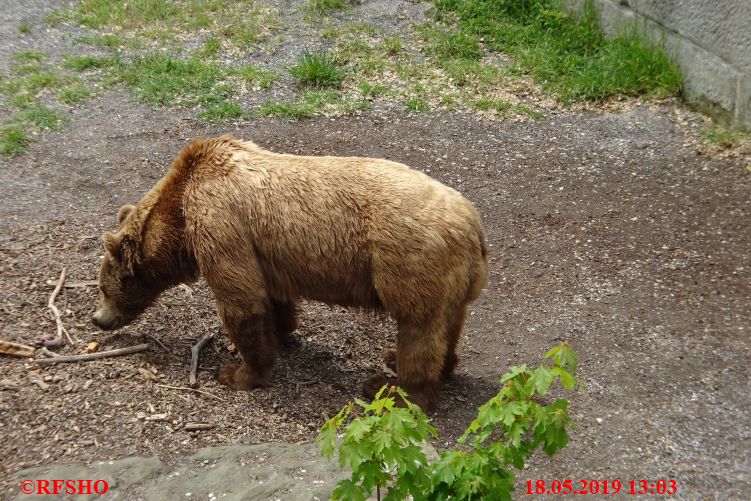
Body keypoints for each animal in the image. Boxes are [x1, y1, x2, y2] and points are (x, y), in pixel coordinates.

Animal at [92, 134, 488, 410]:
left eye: (105, 287)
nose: (98, 319)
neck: (177, 219)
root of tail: (473, 226)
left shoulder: (220, 222)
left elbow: (241, 299)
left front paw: (237, 372)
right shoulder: (262, 250)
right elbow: (271, 297)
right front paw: (278, 336)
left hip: (408, 260)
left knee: (419, 329)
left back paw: (395, 388)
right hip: (452, 279)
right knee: (448, 324)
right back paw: (426, 364)